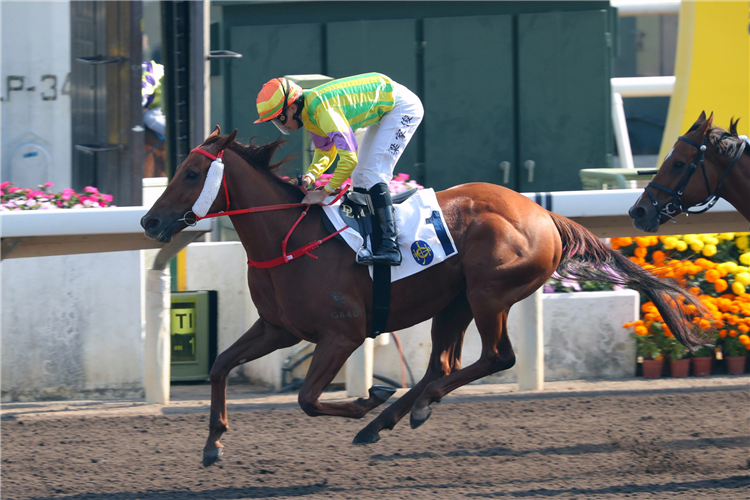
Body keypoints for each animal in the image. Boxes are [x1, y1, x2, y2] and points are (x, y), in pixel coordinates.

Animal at [141, 124, 712, 464]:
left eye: (192, 172)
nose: (149, 221)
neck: (291, 240)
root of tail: (543, 213)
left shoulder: (343, 334)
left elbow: (307, 398)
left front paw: (366, 398)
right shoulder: (278, 328)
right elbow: (220, 364)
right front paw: (213, 443)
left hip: (488, 294)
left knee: (496, 358)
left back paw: (397, 411)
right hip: (453, 303)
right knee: (443, 364)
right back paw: (394, 417)